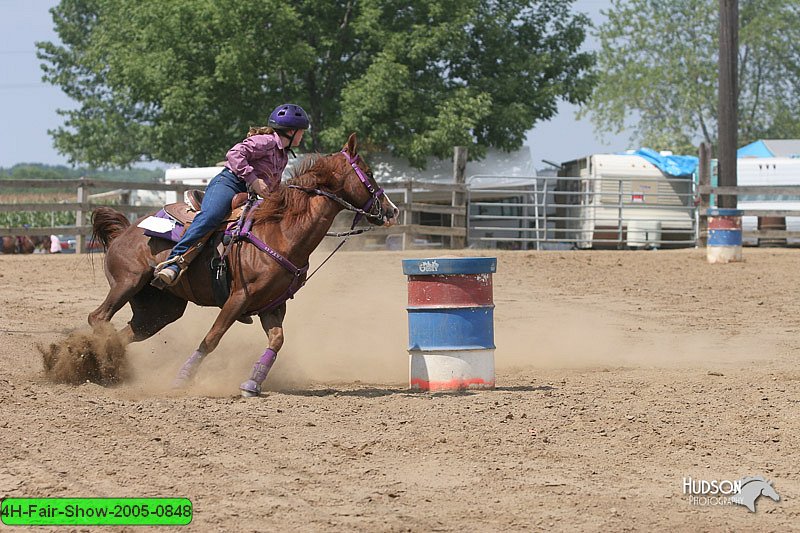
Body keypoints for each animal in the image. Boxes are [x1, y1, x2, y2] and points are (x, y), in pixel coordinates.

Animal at [88, 134, 400, 394]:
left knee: (127, 333)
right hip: (128, 281)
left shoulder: (273, 305)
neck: (281, 231)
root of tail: (124, 231)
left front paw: (252, 383)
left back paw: (104, 368)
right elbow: (211, 338)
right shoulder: (238, 297)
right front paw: (183, 378)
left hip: (160, 309)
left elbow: (277, 340)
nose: (392, 210)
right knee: (98, 318)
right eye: (370, 173)